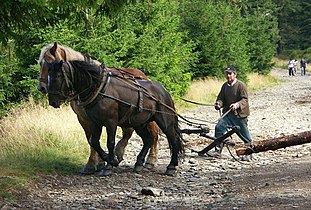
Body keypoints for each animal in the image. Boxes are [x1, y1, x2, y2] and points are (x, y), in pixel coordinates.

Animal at [37, 42, 160, 174]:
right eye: (40, 63)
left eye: (50, 61)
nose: (42, 87)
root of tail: (143, 76)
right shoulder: (84, 118)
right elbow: (91, 139)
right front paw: (97, 163)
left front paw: (100, 162)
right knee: (128, 133)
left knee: (153, 135)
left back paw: (150, 161)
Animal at [47, 60, 184, 176]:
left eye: (56, 78)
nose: (52, 102)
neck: (100, 89)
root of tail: (164, 91)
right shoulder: (96, 123)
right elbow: (94, 142)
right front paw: (110, 160)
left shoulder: (110, 122)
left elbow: (110, 143)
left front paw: (109, 165)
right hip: (139, 123)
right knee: (148, 140)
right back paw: (139, 164)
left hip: (164, 121)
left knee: (173, 139)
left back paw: (171, 166)